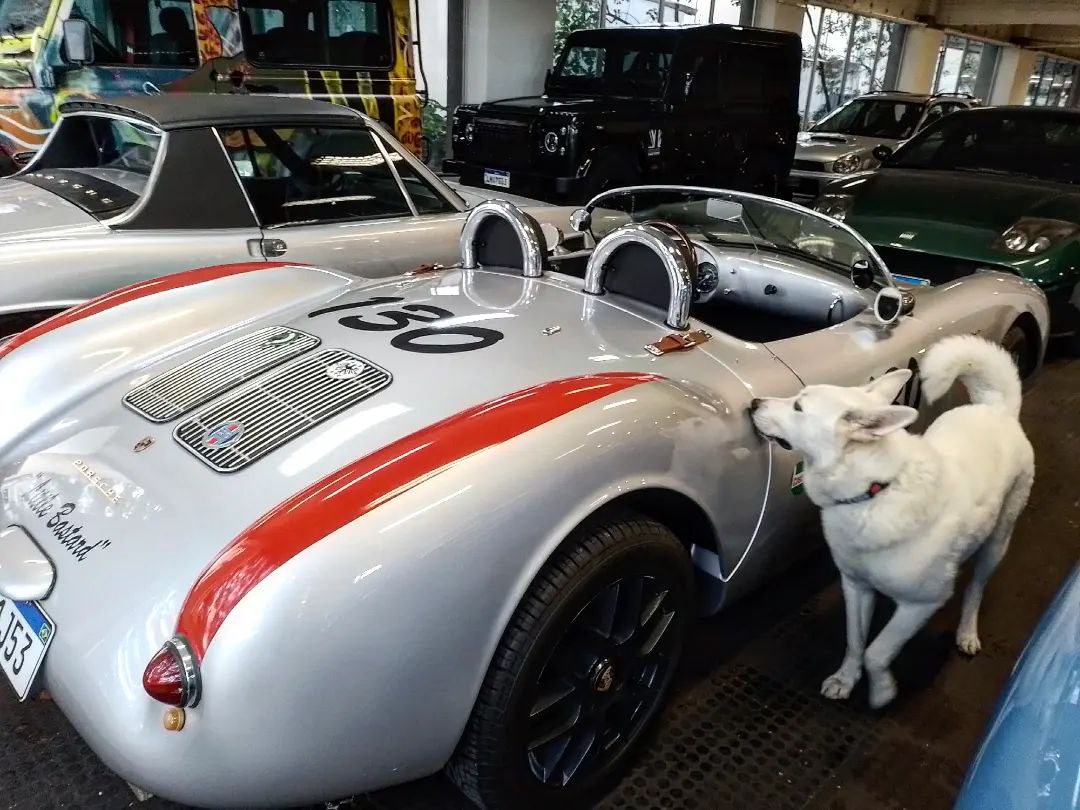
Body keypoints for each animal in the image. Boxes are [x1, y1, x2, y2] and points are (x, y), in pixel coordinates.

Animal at [747, 336, 1032, 708]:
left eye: (798, 406)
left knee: (975, 589)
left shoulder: (921, 604)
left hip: (997, 541)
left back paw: (967, 632)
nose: (752, 403)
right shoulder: (855, 587)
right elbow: (855, 642)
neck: (873, 492)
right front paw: (845, 679)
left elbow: (877, 652)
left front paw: (882, 691)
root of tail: (997, 409)